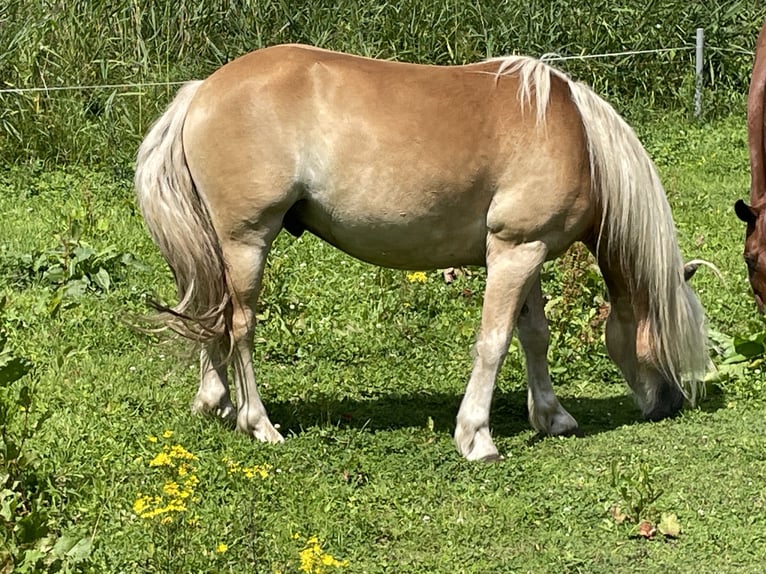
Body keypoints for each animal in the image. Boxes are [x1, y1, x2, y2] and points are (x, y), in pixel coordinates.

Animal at [135, 44, 709, 461]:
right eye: (670, 336)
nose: (671, 405)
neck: (578, 138)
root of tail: (201, 91)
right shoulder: (515, 251)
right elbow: (494, 343)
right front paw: (476, 437)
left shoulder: (526, 252)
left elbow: (534, 337)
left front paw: (552, 416)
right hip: (247, 242)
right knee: (239, 327)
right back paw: (259, 424)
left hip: (221, 248)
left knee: (210, 315)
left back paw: (215, 403)